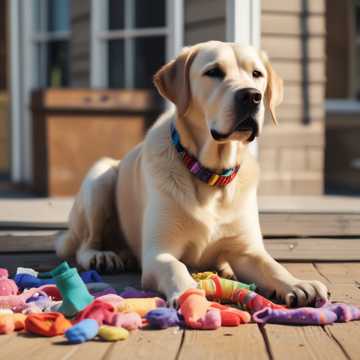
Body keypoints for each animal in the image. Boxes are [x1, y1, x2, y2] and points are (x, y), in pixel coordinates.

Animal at [55, 41, 330, 306]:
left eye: (256, 74)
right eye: (214, 72)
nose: (252, 96)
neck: (211, 176)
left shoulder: (247, 250)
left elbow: (272, 266)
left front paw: (297, 283)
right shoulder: (159, 252)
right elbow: (175, 267)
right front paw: (189, 292)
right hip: (99, 177)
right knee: (85, 244)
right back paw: (101, 255)